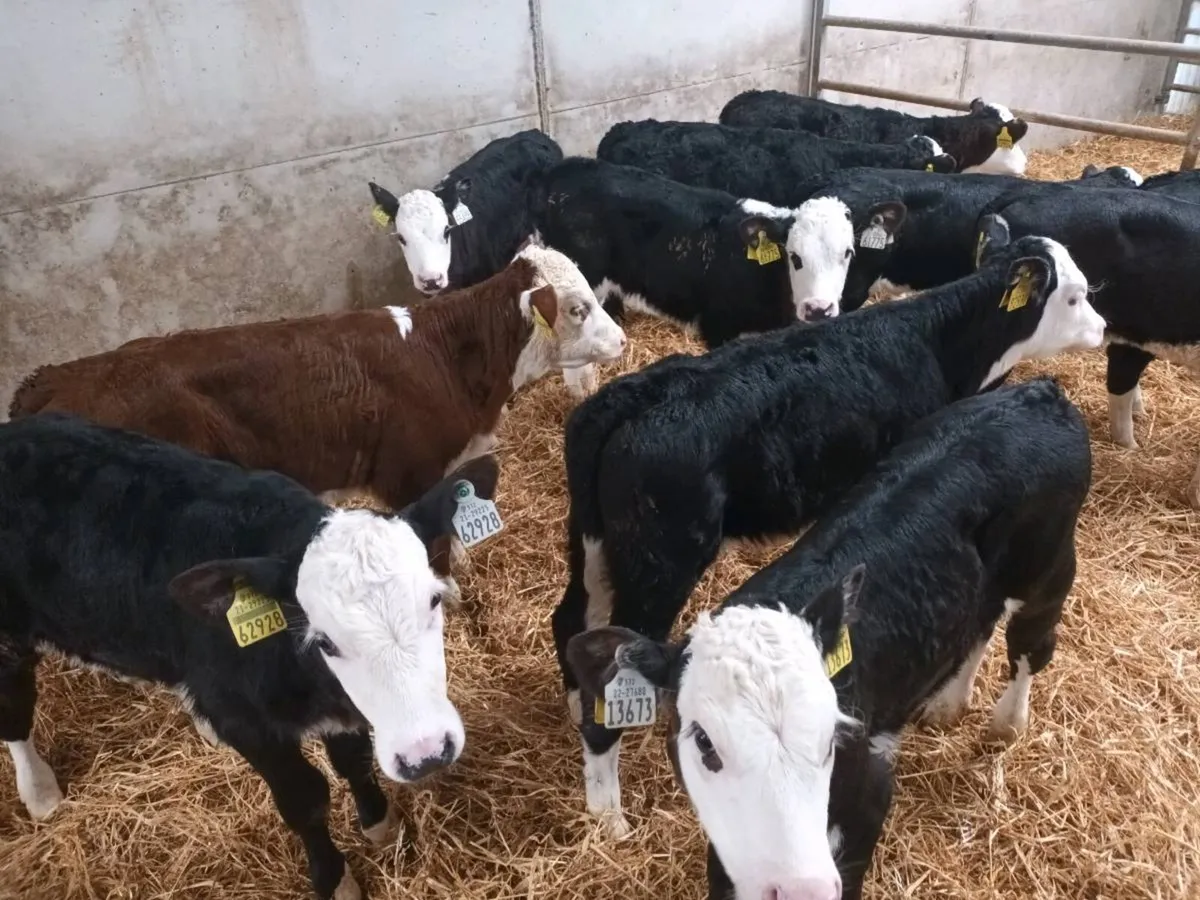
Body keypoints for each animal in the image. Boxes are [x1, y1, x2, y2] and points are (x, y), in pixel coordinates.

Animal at [0, 411, 501, 899]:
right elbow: (305, 801)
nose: (427, 754)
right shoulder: (248, 724)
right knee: (15, 713)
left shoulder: (344, 711)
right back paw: (40, 791)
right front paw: (336, 880)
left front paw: (380, 824)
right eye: (324, 641)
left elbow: (353, 761)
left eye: (433, 601)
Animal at [9, 243, 627, 602]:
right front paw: (447, 590)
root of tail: (54, 378)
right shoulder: (407, 475)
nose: (623, 340)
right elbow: (431, 542)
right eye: (578, 308)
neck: (448, 355)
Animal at [549, 227, 1106, 839]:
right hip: (661, 563)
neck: (934, 341)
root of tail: (627, 400)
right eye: (1075, 296)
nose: (1103, 328)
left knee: (571, 621)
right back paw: (610, 818)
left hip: (593, 545)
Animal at [565, 377, 1091, 900]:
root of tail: (1041, 393)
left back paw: (1007, 723)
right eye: (704, 742)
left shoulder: (869, 791)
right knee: (981, 621)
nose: (802, 887)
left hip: (1049, 569)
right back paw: (949, 703)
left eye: (832, 734)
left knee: (1031, 644)